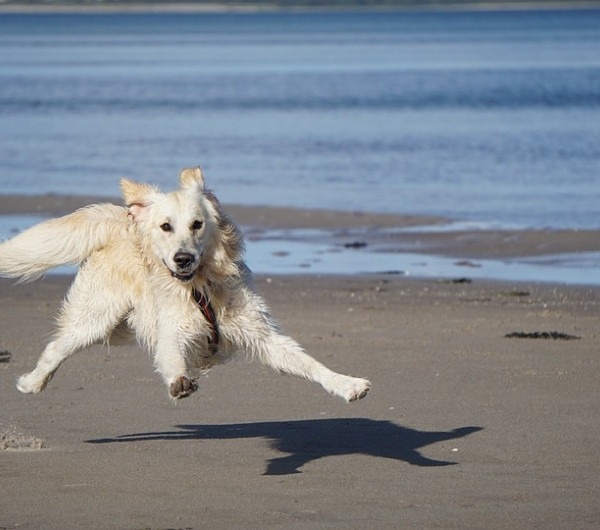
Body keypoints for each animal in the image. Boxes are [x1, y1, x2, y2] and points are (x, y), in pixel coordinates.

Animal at [0, 168, 370, 400]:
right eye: (166, 226)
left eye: (197, 224)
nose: (183, 259)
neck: (200, 289)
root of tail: (123, 220)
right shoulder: (171, 331)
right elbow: (173, 356)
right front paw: (179, 381)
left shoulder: (261, 334)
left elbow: (309, 363)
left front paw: (347, 384)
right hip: (96, 319)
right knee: (56, 347)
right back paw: (31, 383)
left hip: (119, 328)